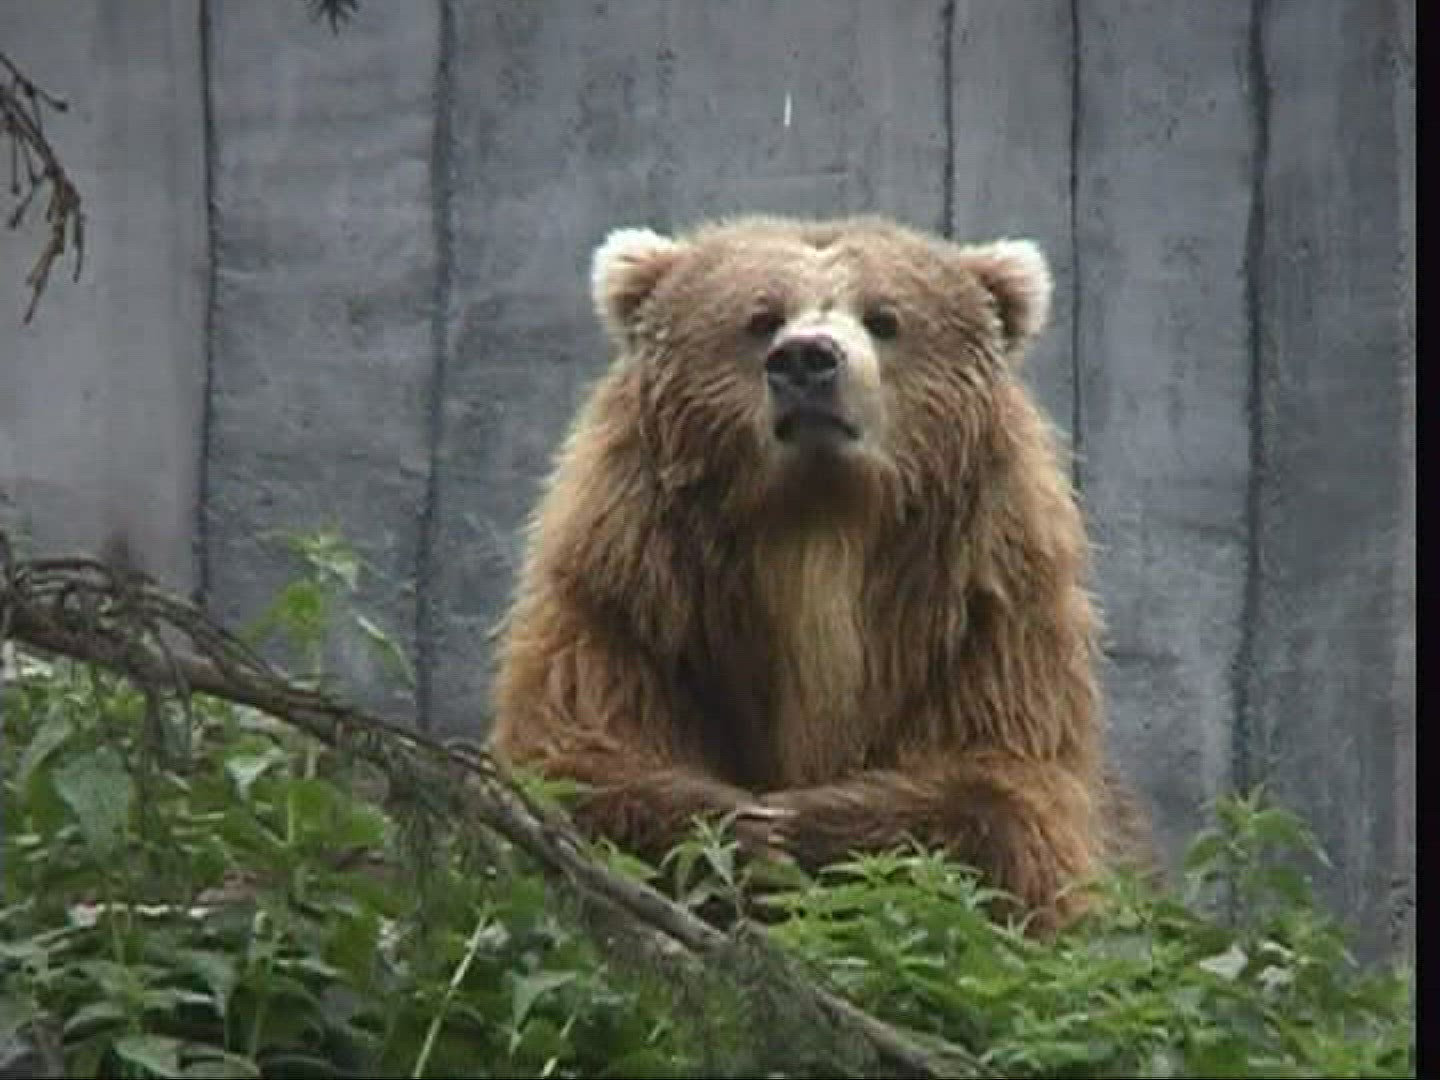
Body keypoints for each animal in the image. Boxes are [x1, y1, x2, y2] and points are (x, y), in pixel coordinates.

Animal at [487, 213, 1152, 935]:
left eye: (885, 318)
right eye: (760, 317)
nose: (807, 359)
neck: (817, 535)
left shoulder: (987, 625)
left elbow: (1009, 803)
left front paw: (812, 826)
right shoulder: (630, 608)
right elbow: (580, 759)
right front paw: (749, 831)